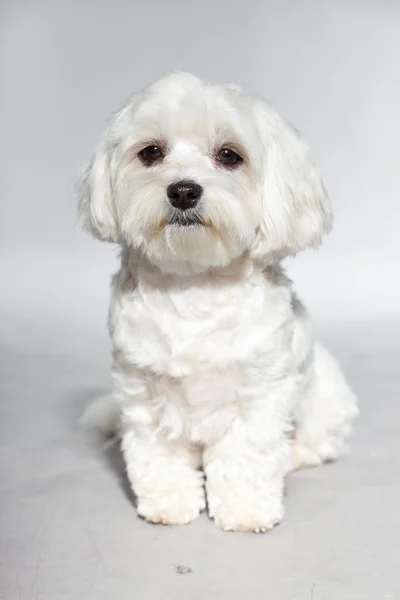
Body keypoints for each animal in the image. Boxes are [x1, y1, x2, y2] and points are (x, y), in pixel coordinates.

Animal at [76, 72, 358, 532]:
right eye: (151, 152)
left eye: (229, 155)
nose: (183, 191)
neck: (195, 285)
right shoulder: (143, 393)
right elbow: (157, 455)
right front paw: (169, 503)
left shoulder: (259, 396)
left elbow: (247, 456)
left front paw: (246, 510)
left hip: (327, 400)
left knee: (316, 441)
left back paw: (294, 456)